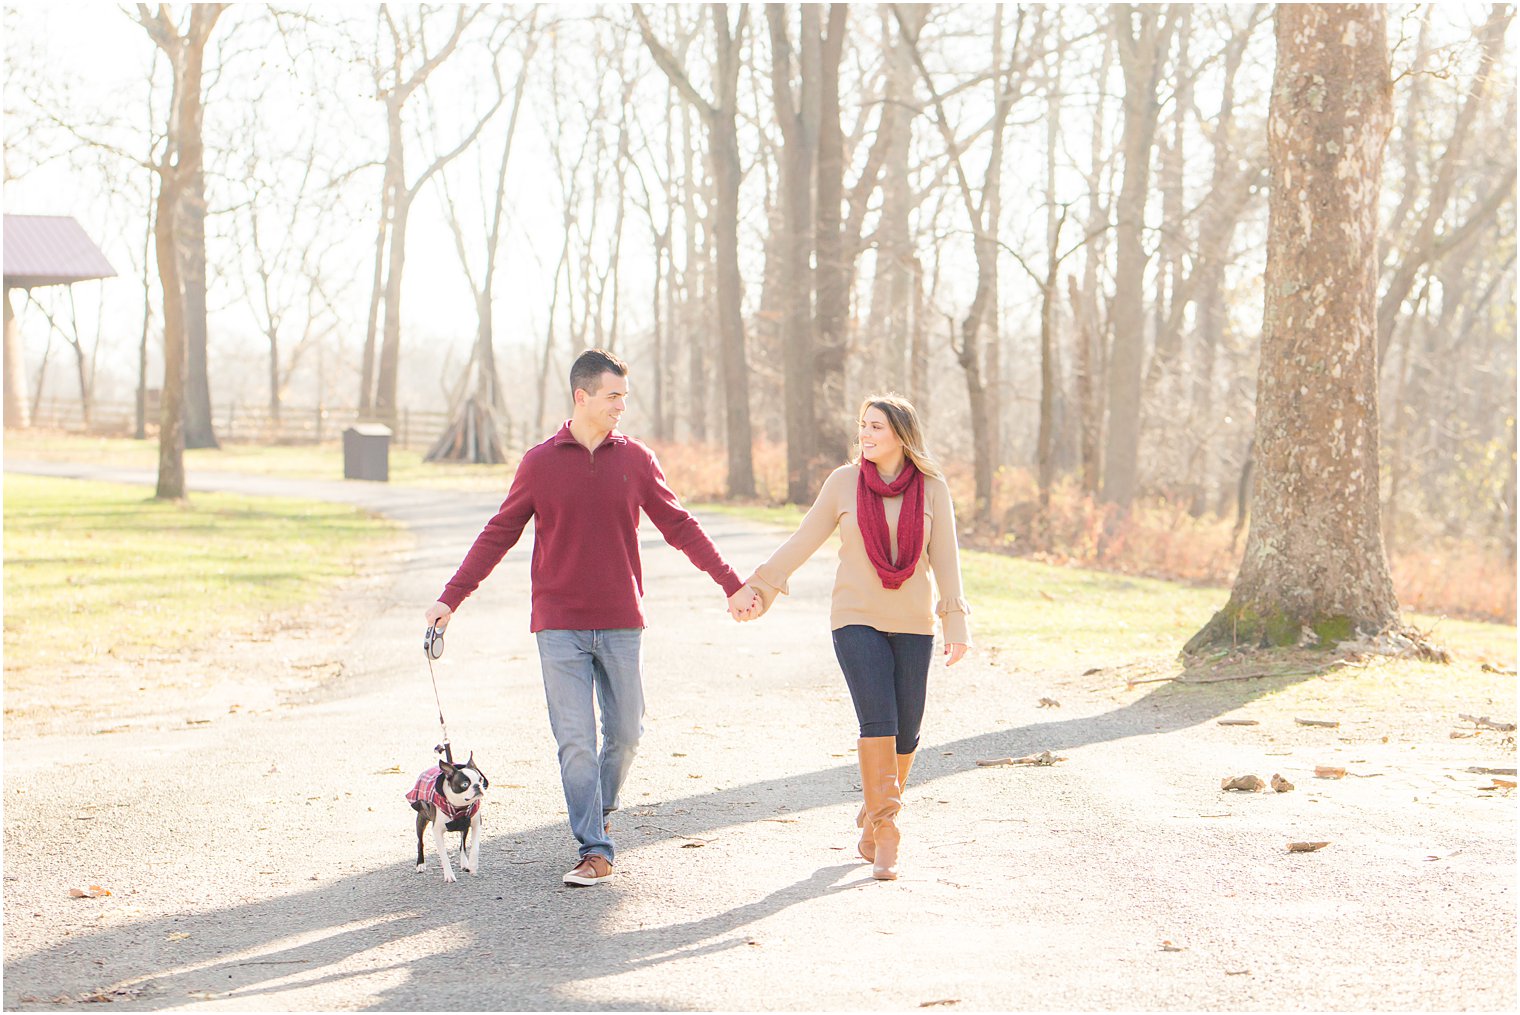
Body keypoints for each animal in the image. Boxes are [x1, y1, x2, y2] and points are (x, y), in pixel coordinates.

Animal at [407, 750, 489, 881]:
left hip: (464, 826)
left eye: (481, 780)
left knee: (462, 845)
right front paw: (449, 875)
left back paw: (465, 863)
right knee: (420, 842)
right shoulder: (437, 831)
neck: (459, 806)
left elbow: (475, 847)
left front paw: (473, 865)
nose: (478, 786)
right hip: (421, 819)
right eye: (465, 784)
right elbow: (444, 855)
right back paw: (420, 864)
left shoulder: (476, 824)